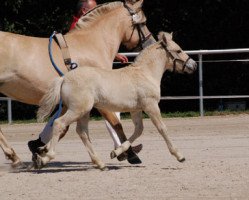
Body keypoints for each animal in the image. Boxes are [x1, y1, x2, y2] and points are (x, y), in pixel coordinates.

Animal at [0, 0, 156, 167]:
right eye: (143, 22)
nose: (152, 43)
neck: (91, 45)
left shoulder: (70, 103)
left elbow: (62, 127)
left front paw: (40, 149)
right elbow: (116, 124)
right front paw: (129, 154)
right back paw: (14, 157)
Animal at [36, 31, 197, 169]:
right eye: (178, 50)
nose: (194, 65)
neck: (145, 73)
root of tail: (64, 78)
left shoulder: (136, 110)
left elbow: (138, 130)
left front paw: (116, 152)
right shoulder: (150, 105)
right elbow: (162, 128)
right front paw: (179, 155)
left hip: (83, 111)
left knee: (82, 132)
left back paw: (100, 163)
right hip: (78, 109)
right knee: (59, 123)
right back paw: (45, 158)